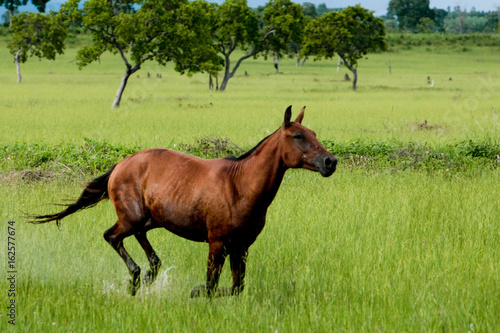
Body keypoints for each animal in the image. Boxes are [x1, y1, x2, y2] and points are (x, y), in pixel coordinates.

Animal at [29, 105, 338, 296]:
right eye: (298, 136)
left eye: (314, 134)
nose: (330, 162)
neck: (240, 186)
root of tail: (120, 165)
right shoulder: (217, 243)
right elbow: (211, 286)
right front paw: (194, 291)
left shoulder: (241, 246)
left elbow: (237, 287)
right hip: (131, 218)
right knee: (111, 236)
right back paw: (136, 279)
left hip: (151, 219)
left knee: (143, 245)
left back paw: (148, 275)